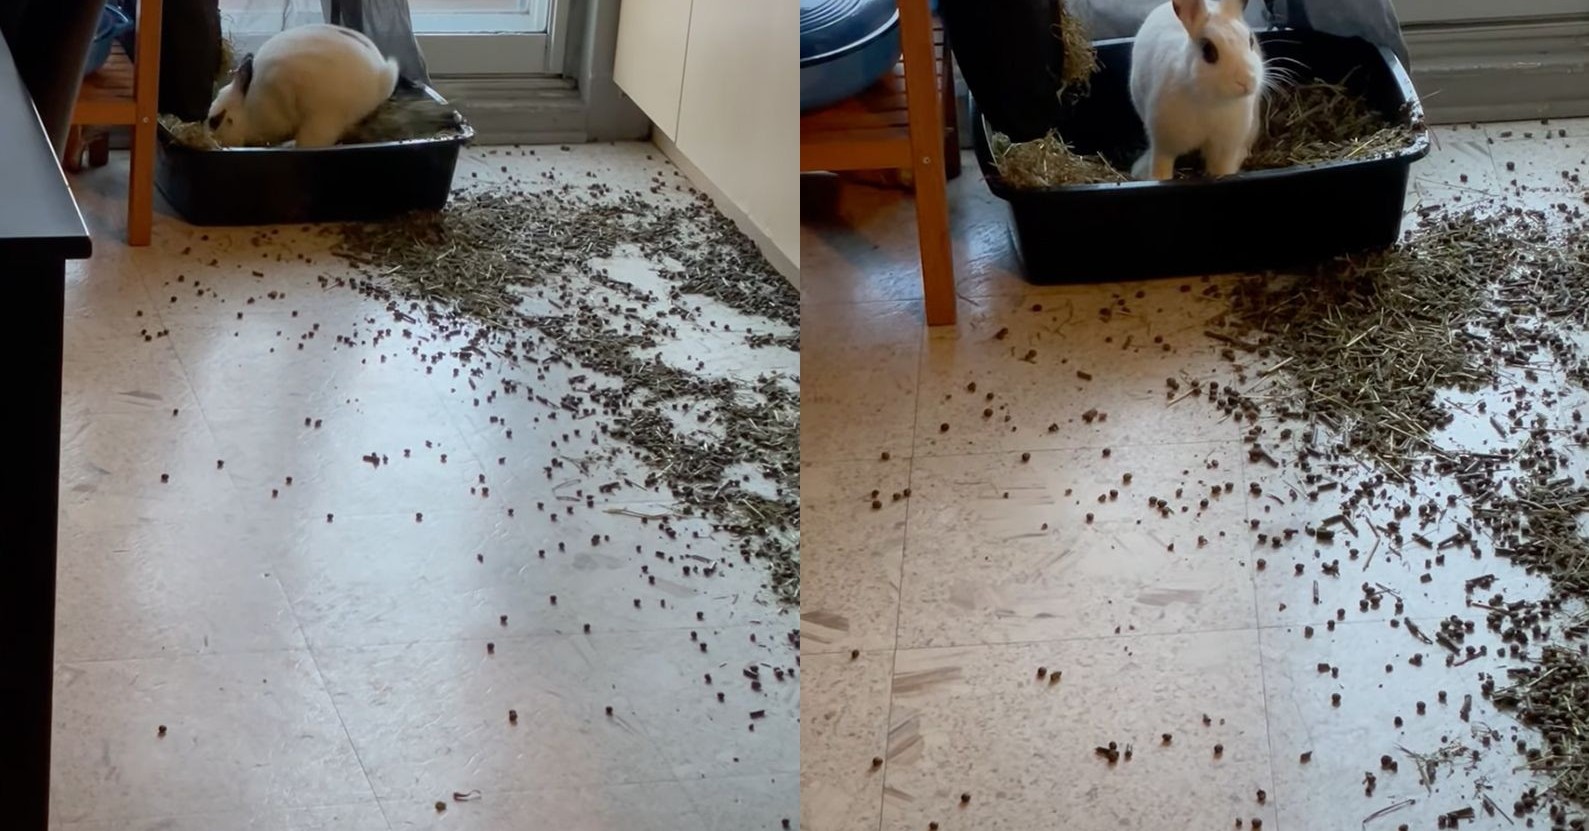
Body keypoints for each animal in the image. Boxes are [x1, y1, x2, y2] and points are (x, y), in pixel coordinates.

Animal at [1127, 0, 1267, 180]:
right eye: (1208, 50)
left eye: (1250, 41)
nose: (1247, 81)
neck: (1211, 102)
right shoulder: (1164, 145)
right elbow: (1161, 168)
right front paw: (1156, 177)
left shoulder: (1224, 149)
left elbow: (1223, 170)